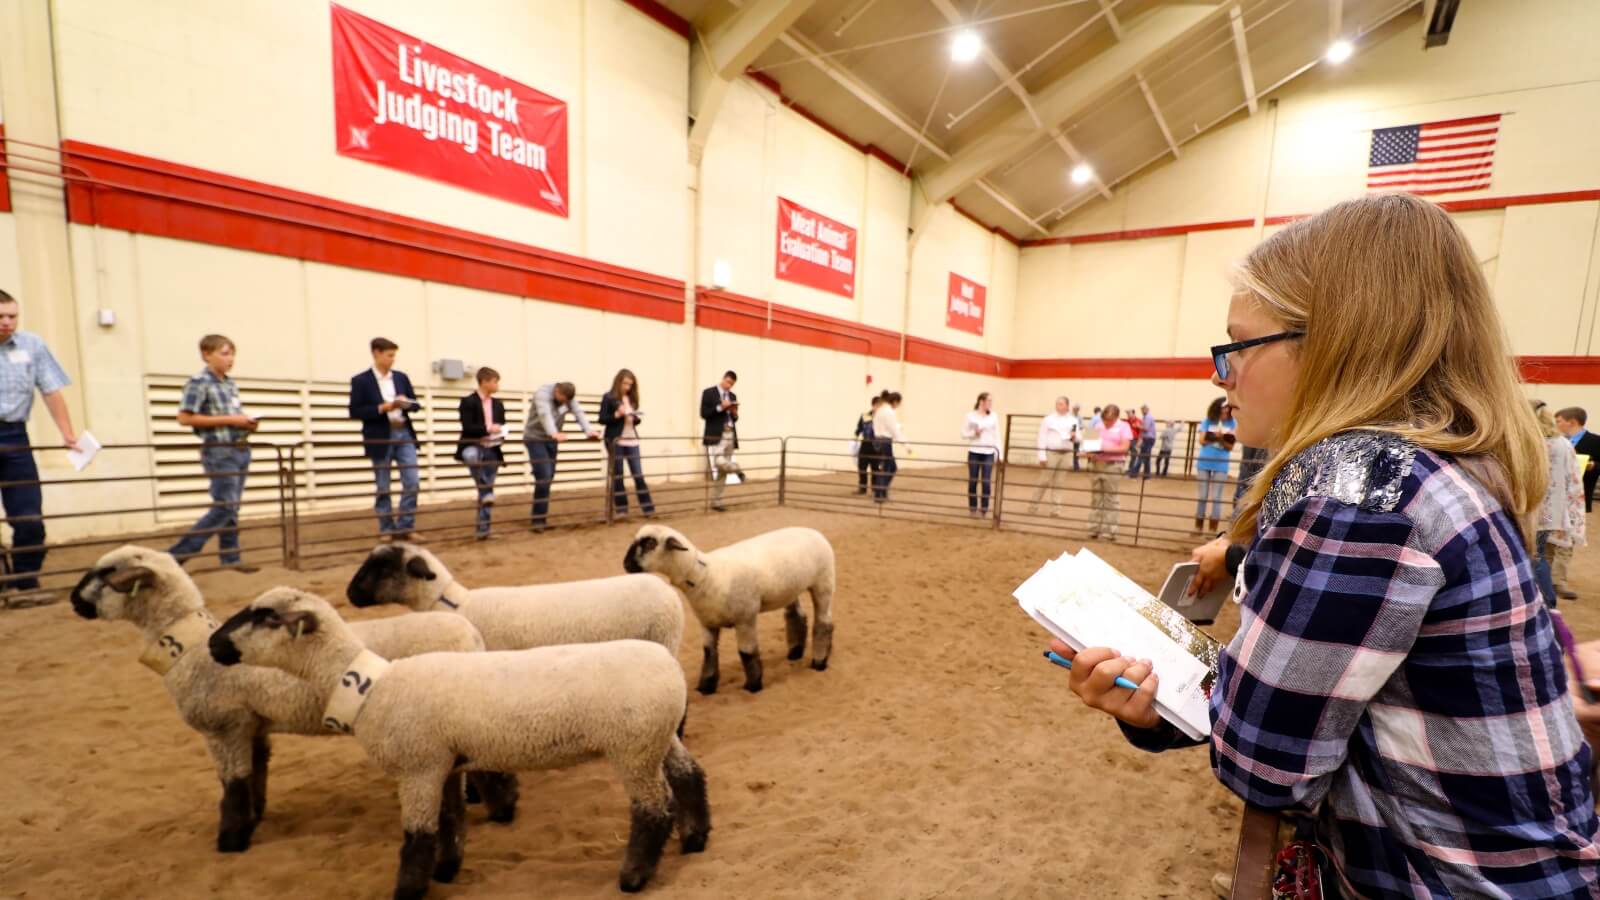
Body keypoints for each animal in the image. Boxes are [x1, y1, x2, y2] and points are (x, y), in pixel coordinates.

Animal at [64, 544, 505, 851]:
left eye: (107, 573)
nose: (72, 601)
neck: (188, 652)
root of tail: (471, 635)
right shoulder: (253, 727)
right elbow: (256, 777)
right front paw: (255, 820)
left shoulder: (224, 728)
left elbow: (234, 786)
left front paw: (231, 841)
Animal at [209, 589, 710, 896]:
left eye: (266, 617)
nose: (213, 645)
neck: (369, 686)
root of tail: (670, 666)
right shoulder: (442, 764)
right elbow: (448, 825)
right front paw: (446, 872)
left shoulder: (417, 768)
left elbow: (416, 838)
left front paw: (408, 890)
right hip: (657, 737)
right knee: (690, 778)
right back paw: (695, 840)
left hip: (633, 749)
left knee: (653, 809)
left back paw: (635, 875)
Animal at [620, 522, 838, 688]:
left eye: (650, 543)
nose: (626, 565)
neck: (705, 575)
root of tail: (813, 530)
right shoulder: (707, 622)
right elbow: (709, 653)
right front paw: (706, 686)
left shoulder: (745, 618)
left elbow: (746, 653)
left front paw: (753, 685)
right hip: (791, 589)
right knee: (796, 616)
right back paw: (795, 653)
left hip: (823, 583)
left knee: (823, 623)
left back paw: (819, 661)